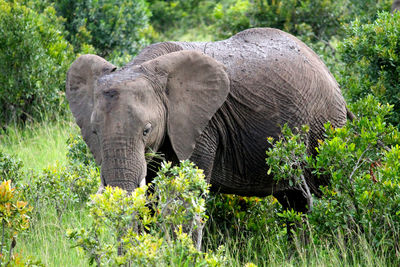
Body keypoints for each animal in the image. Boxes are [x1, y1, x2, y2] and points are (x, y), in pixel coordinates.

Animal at [65, 27, 350, 214]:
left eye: (147, 130)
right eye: (94, 132)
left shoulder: (202, 127)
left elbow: (184, 194)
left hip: (325, 127)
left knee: (327, 189)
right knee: (295, 199)